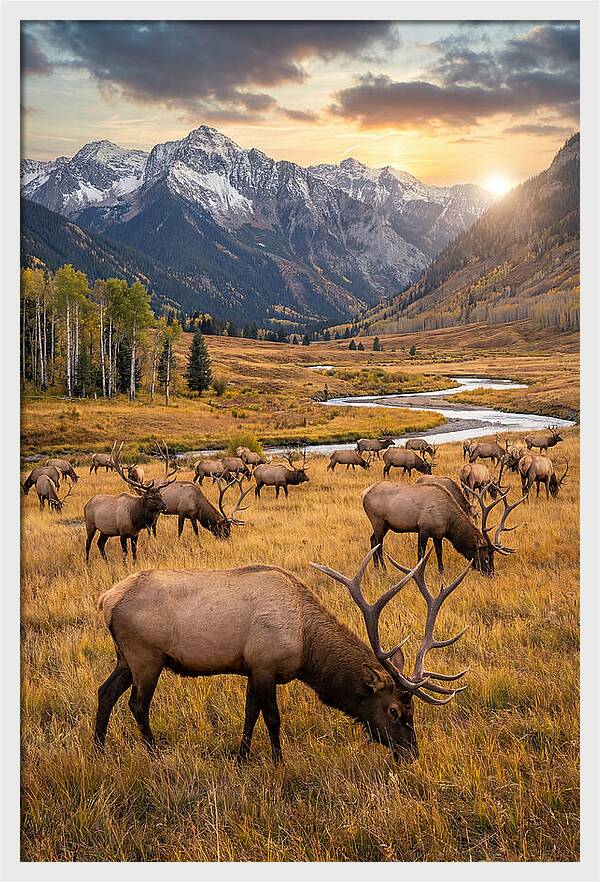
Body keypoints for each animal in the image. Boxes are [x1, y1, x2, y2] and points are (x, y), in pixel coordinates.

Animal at [94, 546, 470, 764]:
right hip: (146, 656)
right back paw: (153, 753)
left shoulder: (250, 667)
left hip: (125, 657)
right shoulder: (265, 665)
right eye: (393, 710)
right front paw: (278, 761)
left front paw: (242, 758)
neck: (306, 647)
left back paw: (99, 748)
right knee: (137, 704)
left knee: (105, 692)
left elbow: (250, 714)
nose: (411, 753)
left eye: (412, 710)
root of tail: (105, 600)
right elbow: (272, 718)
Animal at [362, 480, 523, 574]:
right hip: (378, 521)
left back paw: (376, 567)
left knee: (372, 540)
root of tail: (364, 494)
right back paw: (383, 569)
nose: (491, 574)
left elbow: (439, 552)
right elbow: (420, 554)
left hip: (385, 525)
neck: (448, 523)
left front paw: (441, 572)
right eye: (486, 557)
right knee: (378, 544)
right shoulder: (423, 529)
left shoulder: (438, 534)